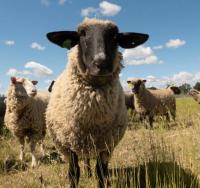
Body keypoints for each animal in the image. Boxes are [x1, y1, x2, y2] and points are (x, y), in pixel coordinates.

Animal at [45, 17, 148, 187]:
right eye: (82, 34)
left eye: (115, 36)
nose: (101, 63)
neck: (93, 120)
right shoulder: (68, 143)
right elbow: (74, 173)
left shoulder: (106, 144)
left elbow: (101, 172)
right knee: (85, 160)